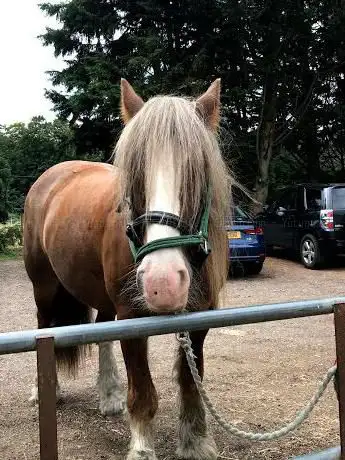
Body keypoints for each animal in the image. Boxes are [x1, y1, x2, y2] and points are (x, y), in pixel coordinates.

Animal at [22, 79, 230, 460]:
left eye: (198, 173)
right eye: (134, 176)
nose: (162, 282)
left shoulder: (201, 318)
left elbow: (191, 384)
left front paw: (196, 442)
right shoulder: (132, 315)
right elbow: (144, 394)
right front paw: (143, 448)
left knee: (102, 329)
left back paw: (109, 393)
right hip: (43, 287)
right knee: (44, 326)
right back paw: (48, 391)